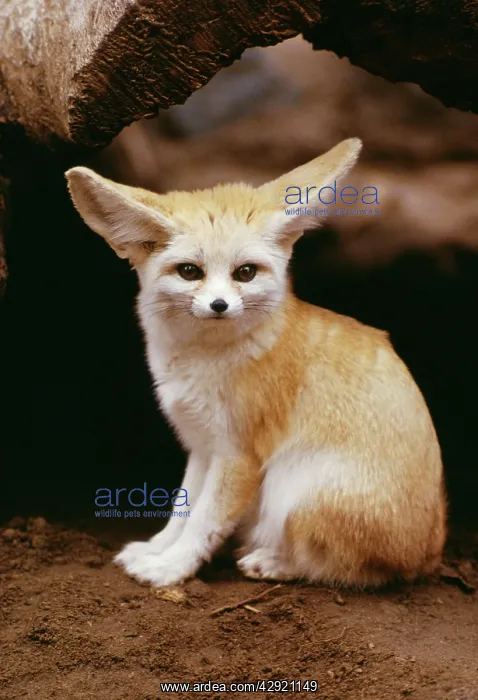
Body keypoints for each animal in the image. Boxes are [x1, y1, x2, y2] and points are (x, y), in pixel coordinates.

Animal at [65, 138, 446, 588]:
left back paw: (271, 562)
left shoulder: (238, 455)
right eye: (190, 272)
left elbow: (204, 521)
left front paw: (171, 569)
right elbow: (182, 509)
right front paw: (157, 549)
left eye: (245, 273)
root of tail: (429, 554)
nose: (219, 305)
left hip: (295, 489)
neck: (204, 359)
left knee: (347, 569)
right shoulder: (201, 445)